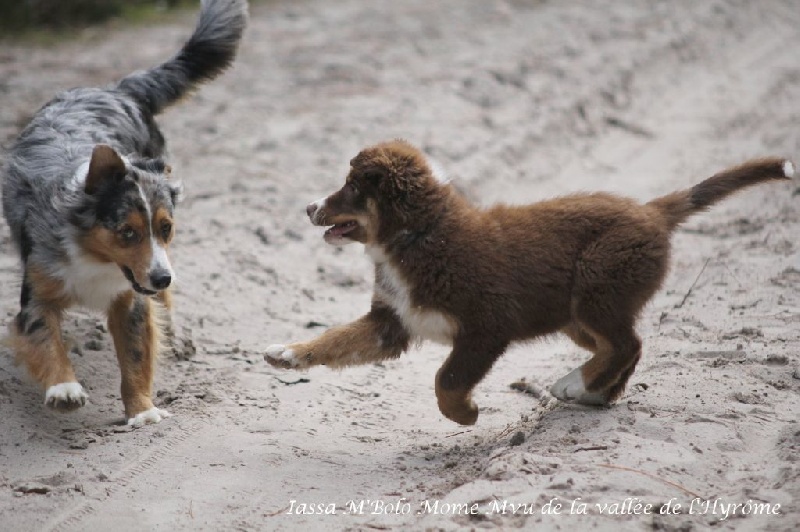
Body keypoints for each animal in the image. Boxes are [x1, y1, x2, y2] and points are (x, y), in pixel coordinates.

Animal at [264, 140, 792, 424]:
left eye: (353, 187)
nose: (308, 207)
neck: (419, 236)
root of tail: (650, 212)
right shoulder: (391, 322)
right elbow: (338, 340)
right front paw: (289, 353)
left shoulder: (486, 326)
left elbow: (446, 379)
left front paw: (466, 414)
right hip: (578, 315)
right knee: (625, 346)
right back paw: (595, 392)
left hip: (598, 287)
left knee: (627, 342)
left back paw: (577, 384)